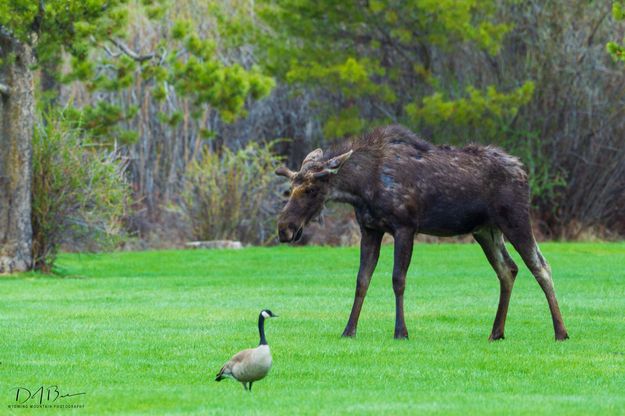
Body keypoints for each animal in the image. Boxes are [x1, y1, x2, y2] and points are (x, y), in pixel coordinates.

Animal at [276, 126, 568, 342]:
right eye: (291, 187)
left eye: (311, 190)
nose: (284, 228)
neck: (361, 189)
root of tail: (523, 171)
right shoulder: (370, 229)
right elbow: (362, 280)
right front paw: (349, 330)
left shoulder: (405, 227)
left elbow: (398, 279)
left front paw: (401, 332)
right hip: (485, 230)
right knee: (508, 269)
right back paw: (496, 332)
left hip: (515, 219)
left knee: (541, 265)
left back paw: (560, 332)